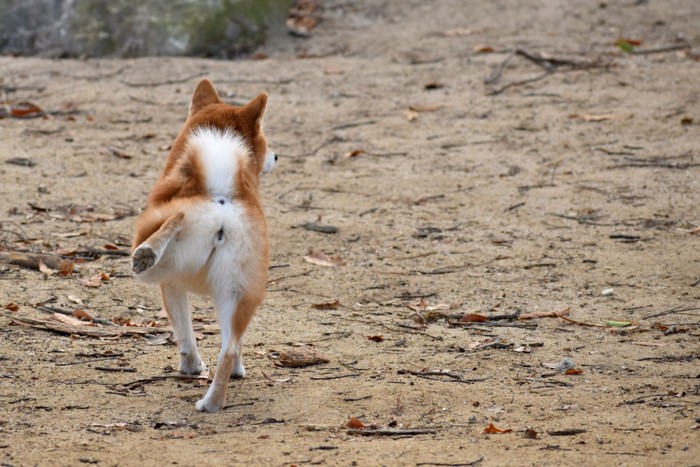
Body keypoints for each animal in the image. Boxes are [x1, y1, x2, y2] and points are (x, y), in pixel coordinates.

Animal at [131, 80, 276, 414]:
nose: (277, 157)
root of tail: (221, 197)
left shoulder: (171, 285)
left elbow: (184, 334)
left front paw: (191, 366)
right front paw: (237, 370)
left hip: (160, 256)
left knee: (173, 222)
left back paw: (148, 250)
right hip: (237, 294)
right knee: (229, 348)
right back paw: (212, 402)